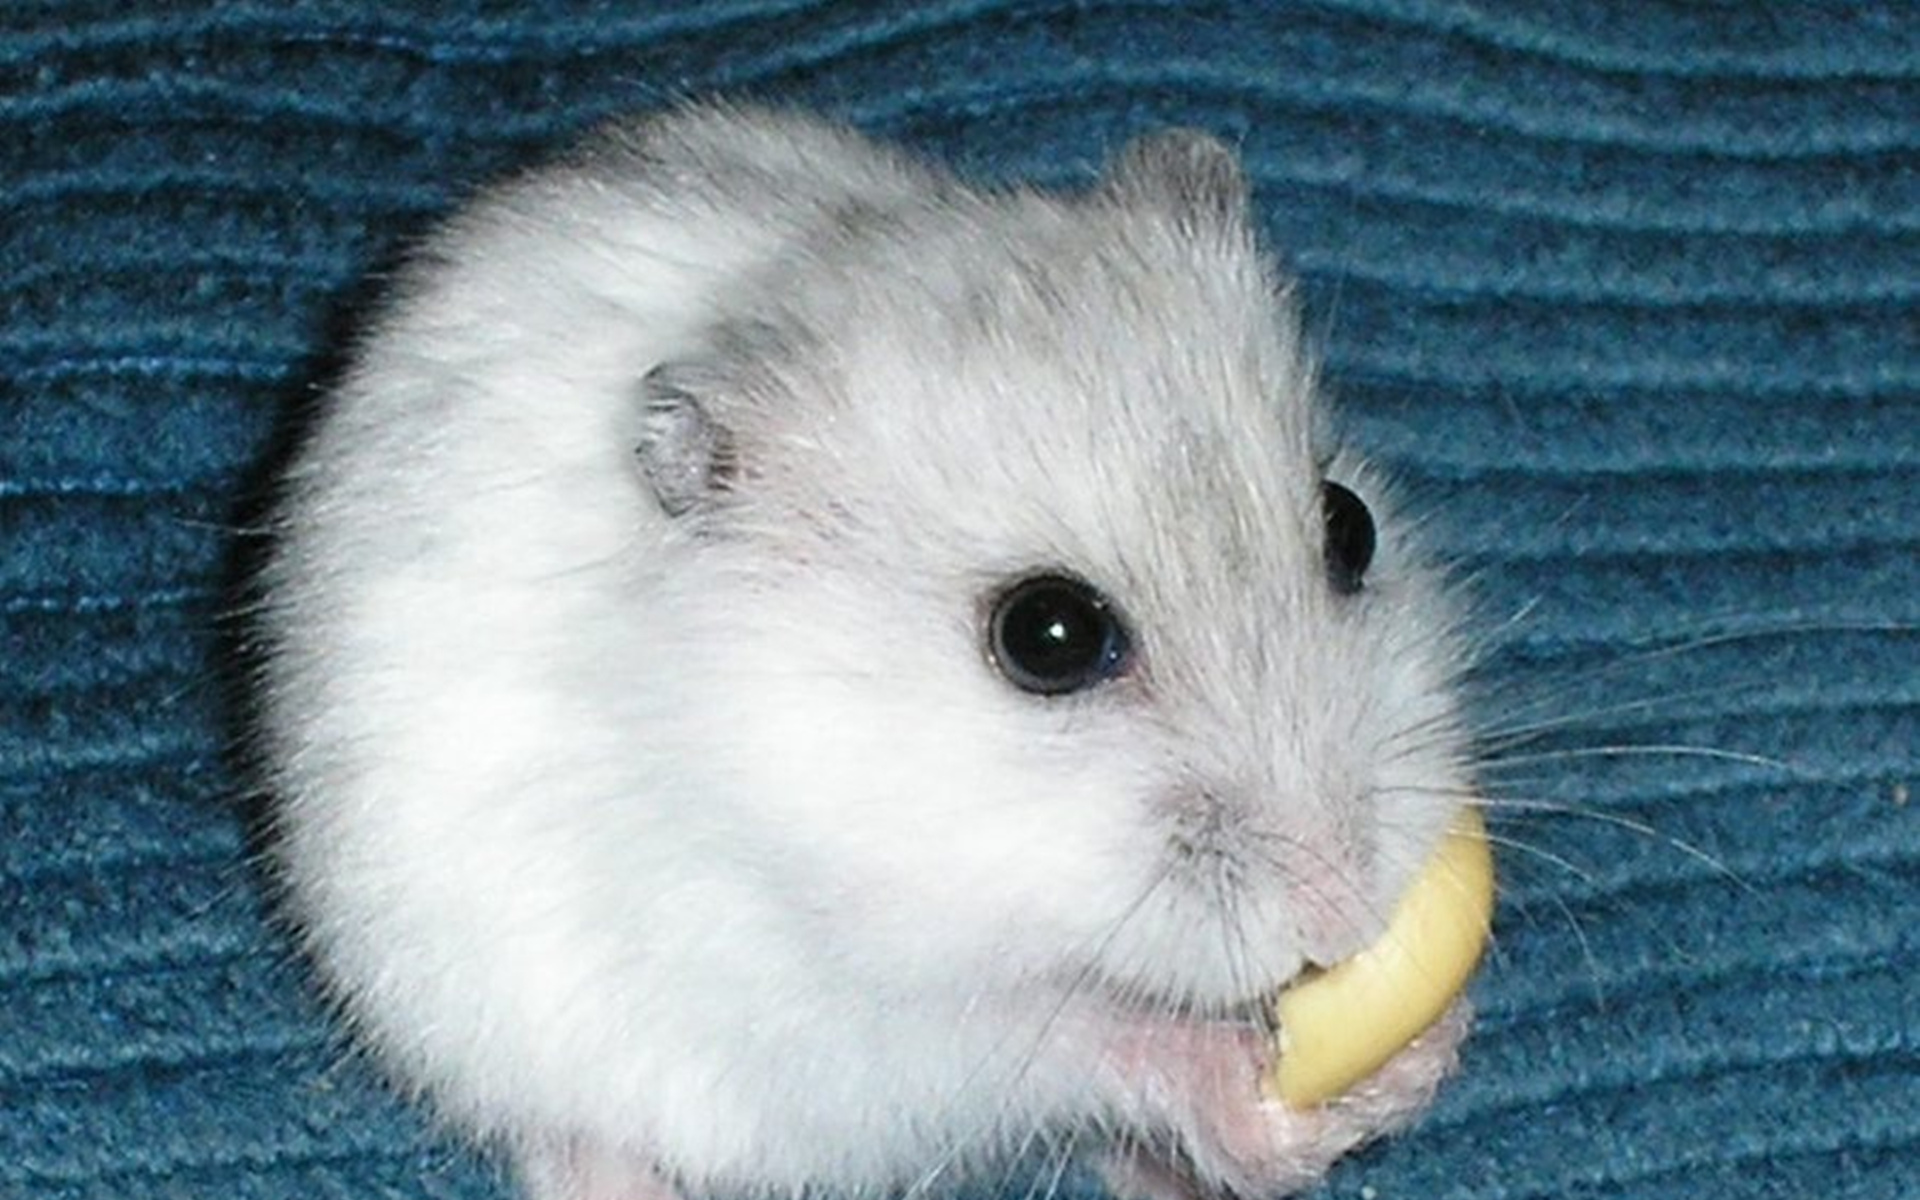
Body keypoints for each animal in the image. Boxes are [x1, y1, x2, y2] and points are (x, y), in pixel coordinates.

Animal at [252, 104, 1479, 1200]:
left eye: (1349, 527)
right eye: (1048, 636)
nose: (1345, 912)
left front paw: (1419, 1062)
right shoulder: (839, 1009)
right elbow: (1076, 1034)